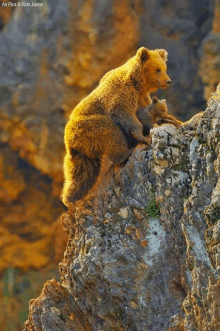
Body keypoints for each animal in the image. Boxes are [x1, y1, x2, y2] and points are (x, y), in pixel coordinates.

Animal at [62, 48, 171, 206]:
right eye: (157, 69)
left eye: (164, 68)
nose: (168, 81)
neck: (137, 83)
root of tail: (68, 140)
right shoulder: (123, 94)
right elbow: (125, 114)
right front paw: (142, 137)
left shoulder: (141, 97)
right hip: (89, 127)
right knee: (110, 132)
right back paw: (124, 153)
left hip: (81, 152)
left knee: (81, 172)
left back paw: (71, 196)